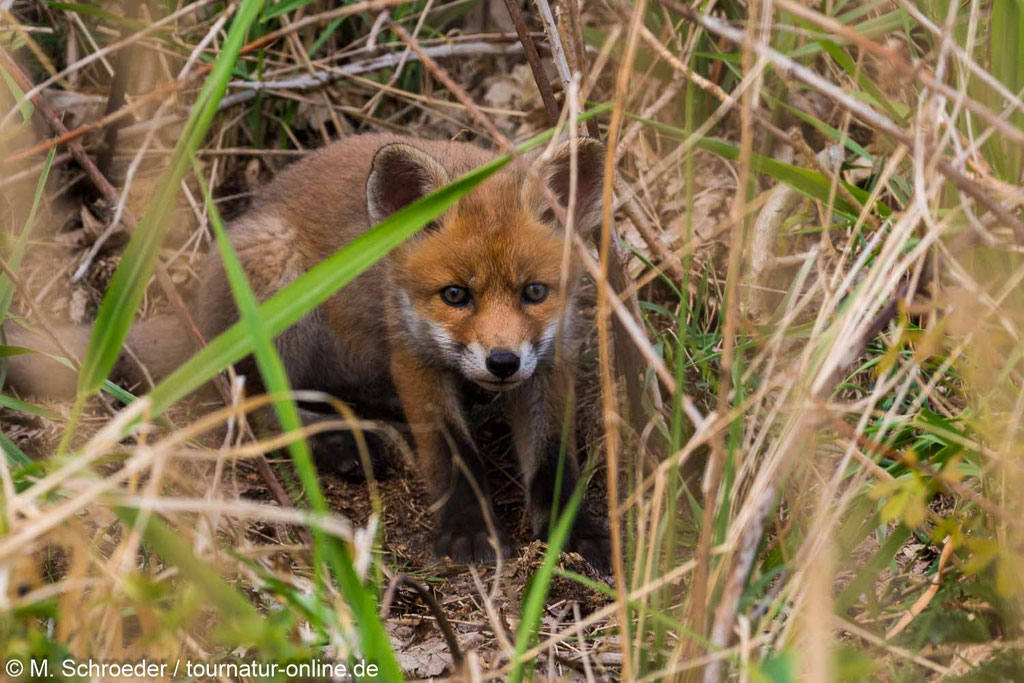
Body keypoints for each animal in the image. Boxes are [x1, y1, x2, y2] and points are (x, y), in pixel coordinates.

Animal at [4, 133, 611, 570]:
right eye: (455, 295)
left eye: (535, 292)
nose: (501, 363)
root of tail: (197, 309)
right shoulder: (414, 355)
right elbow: (452, 452)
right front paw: (468, 530)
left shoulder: (550, 359)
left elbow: (554, 457)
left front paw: (577, 531)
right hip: (279, 286)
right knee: (255, 408)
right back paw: (338, 440)